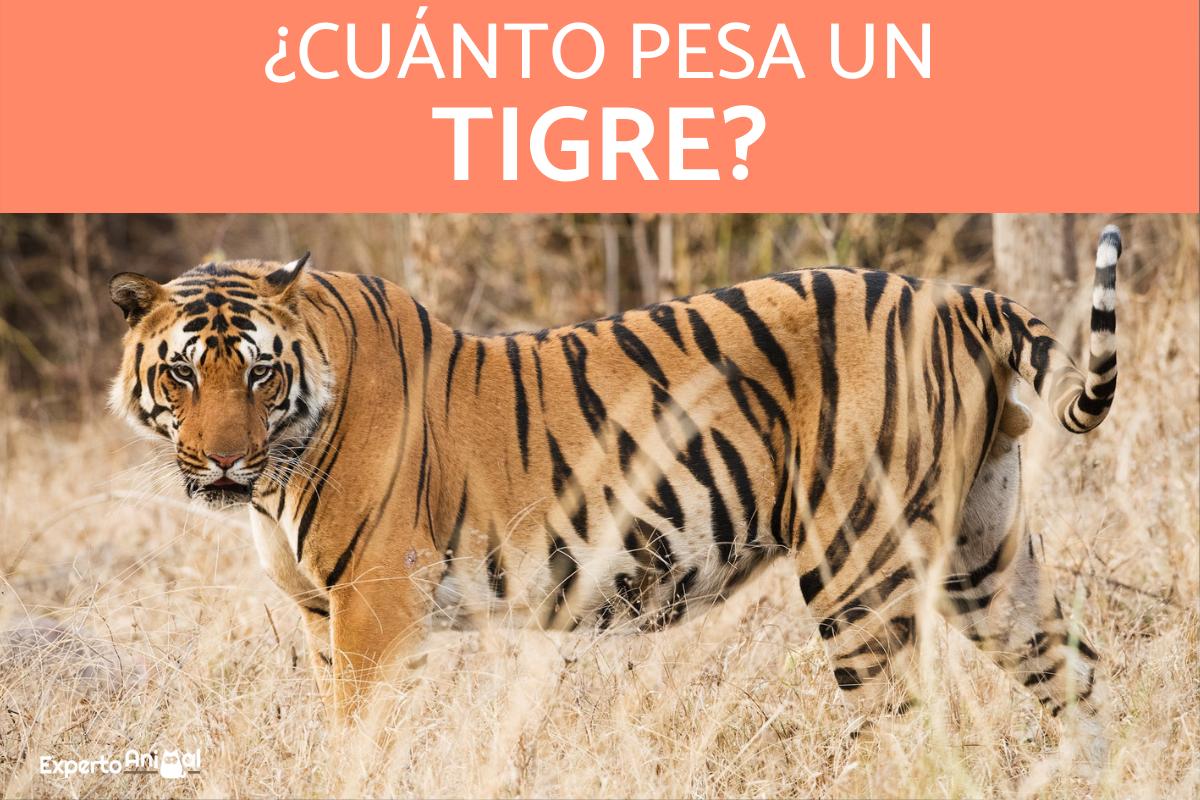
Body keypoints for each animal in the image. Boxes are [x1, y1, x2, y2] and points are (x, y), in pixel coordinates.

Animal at [108, 225, 1122, 753]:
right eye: (184, 375)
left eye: (259, 374)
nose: (224, 463)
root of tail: (957, 296)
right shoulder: (324, 613)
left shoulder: (374, 607)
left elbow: (360, 742)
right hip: (985, 553)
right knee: (1077, 674)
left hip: (857, 567)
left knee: (910, 731)